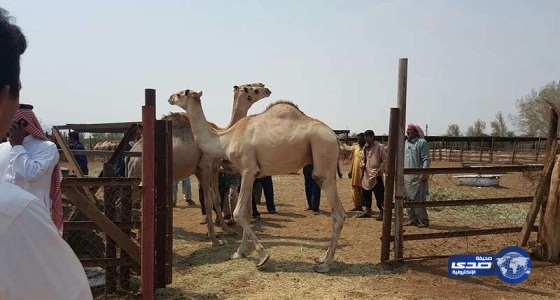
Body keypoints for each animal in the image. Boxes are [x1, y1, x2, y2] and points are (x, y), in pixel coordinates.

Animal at [129, 83, 274, 245]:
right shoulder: (205, 167)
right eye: (251, 89)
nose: (267, 89)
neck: (219, 135)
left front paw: (227, 230)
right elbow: (208, 200)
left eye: (257, 86)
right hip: (139, 176)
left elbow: (216, 198)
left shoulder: (211, 168)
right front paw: (214, 238)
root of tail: (131, 157)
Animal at [168, 88, 348, 272]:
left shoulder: (248, 169)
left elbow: (238, 212)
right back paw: (322, 258)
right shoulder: (249, 173)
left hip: (322, 154)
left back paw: (325, 264)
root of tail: (335, 137)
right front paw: (239, 252)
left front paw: (262, 257)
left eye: (182, 93)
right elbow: (246, 213)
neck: (226, 138)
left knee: (338, 213)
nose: (169, 97)